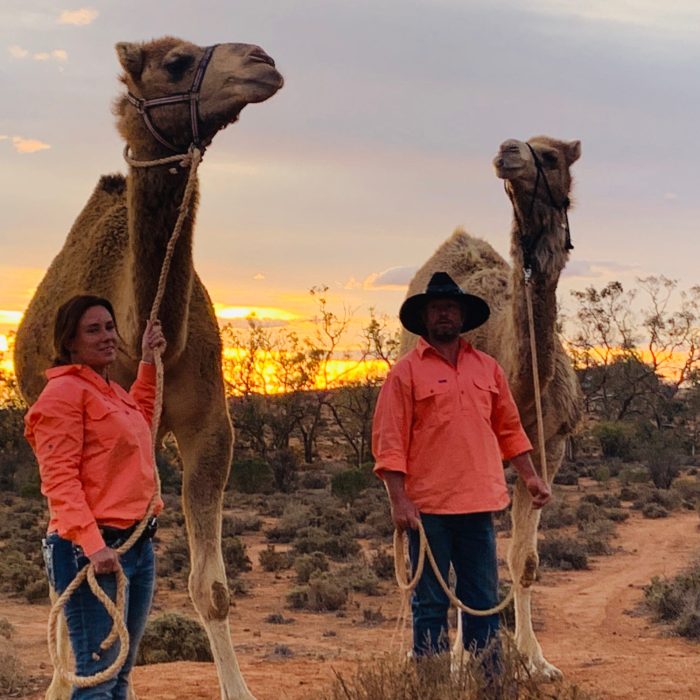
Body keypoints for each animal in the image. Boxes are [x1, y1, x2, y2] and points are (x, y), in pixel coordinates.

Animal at [400, 135, 584, 680]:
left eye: (552, 155)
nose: (508, 151)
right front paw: (465, 661)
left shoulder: (548, 446)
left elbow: (524, 559)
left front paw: (536, 660)